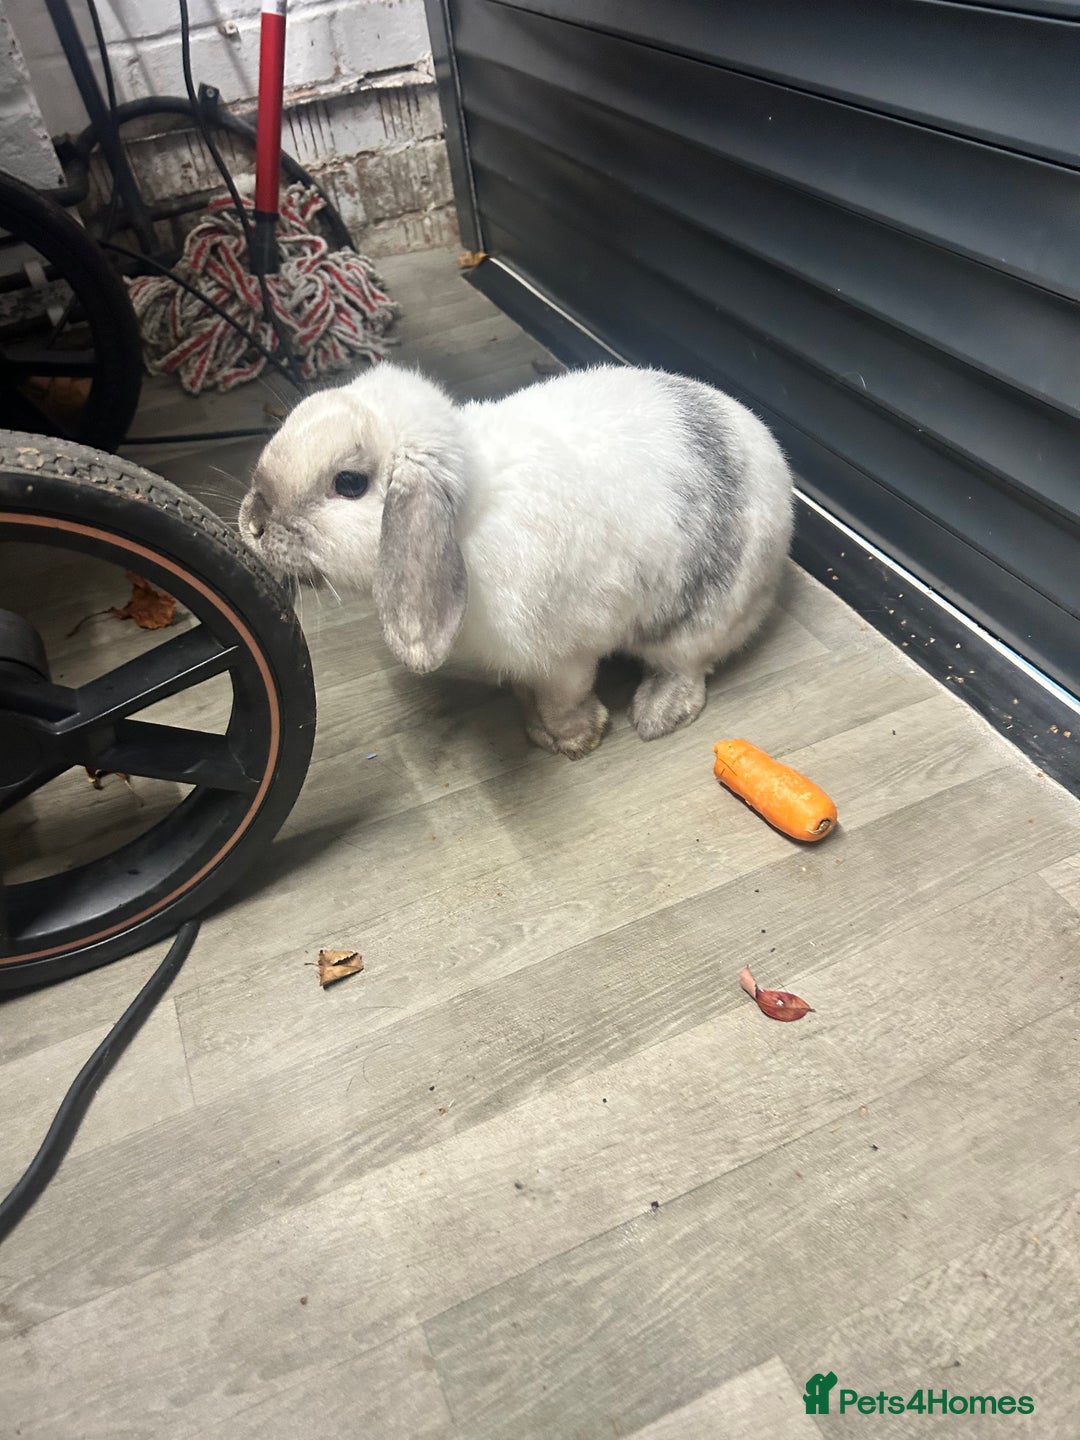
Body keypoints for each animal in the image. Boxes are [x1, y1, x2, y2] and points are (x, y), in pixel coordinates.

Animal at [240, 363, 794, 758]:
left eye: (350, 483)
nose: (252, 523)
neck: (469, 519)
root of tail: (768, 449)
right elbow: (529, 693)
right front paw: (535, 730)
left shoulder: (567, 655)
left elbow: (563, 697)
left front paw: (575, 739)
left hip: (699, 621)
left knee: (688, 668)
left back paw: (656, 716)